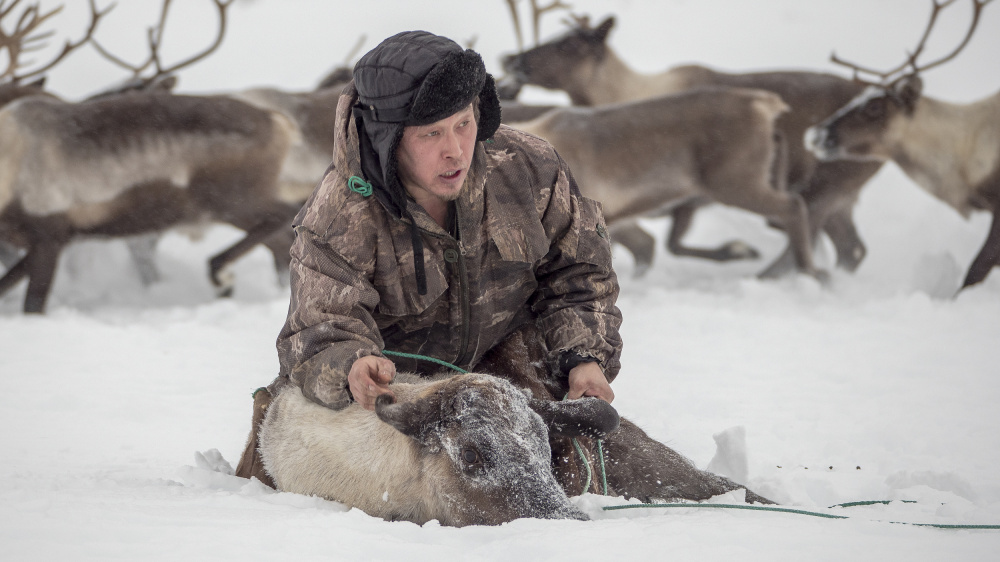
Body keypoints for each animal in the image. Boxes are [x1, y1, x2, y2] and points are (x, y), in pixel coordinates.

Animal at [0, 0, 301, 313]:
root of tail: (279, 121)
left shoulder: (50, 236)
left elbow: (33, 305)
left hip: (233, 200)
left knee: (286, 216)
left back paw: (222, 275)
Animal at [500, 10, 885, 278]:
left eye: (570, 44)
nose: (511, 60)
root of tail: (766, 106)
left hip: (741, 182)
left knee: (796, 210)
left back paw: (804, 276)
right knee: (848, 246)